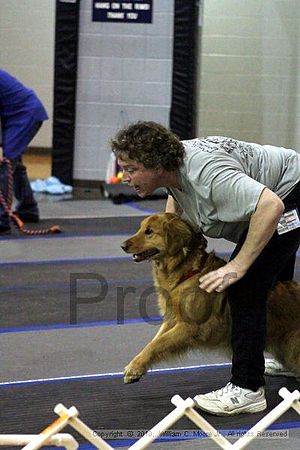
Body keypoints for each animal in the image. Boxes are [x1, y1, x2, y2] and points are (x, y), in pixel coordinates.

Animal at [120, 214, 300, 384]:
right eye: (141, 228)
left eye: (149, 231)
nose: (122, 246)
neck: (185, 274)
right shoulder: (172, 320)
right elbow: (153, 342)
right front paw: (137, 366)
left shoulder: (189, 326)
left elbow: (157, 344)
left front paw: (134, 368)